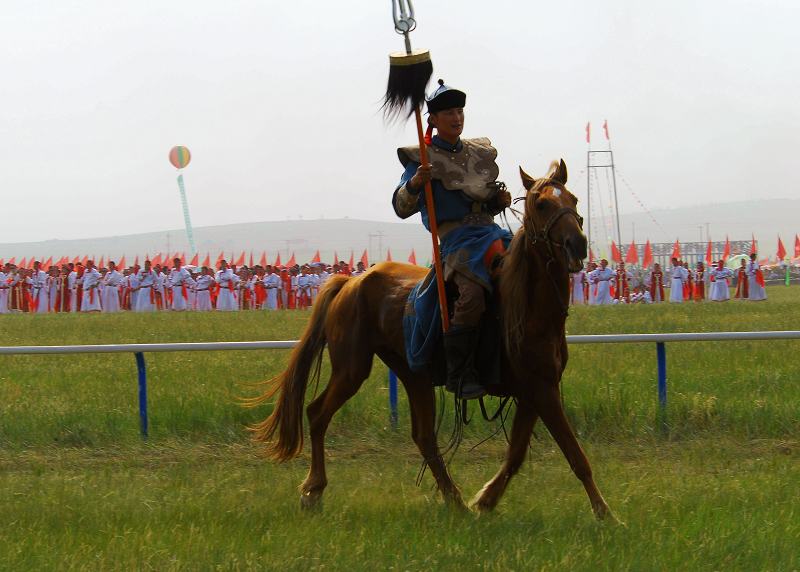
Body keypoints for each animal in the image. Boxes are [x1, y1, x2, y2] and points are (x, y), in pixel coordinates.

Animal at [247, 159, 616, 520]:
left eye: (574, 200)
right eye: (541, 204)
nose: (577, 244)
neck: (525, 306)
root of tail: (351, 282)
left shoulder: (533, 390)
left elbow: (516, 455)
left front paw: (485, 501)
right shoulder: (541, 389)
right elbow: (574, 455)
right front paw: (605, 513)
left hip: (414, 374)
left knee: (423, 436)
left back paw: (455, 500)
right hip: (352, 368)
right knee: (317, 413)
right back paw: (313, 489)